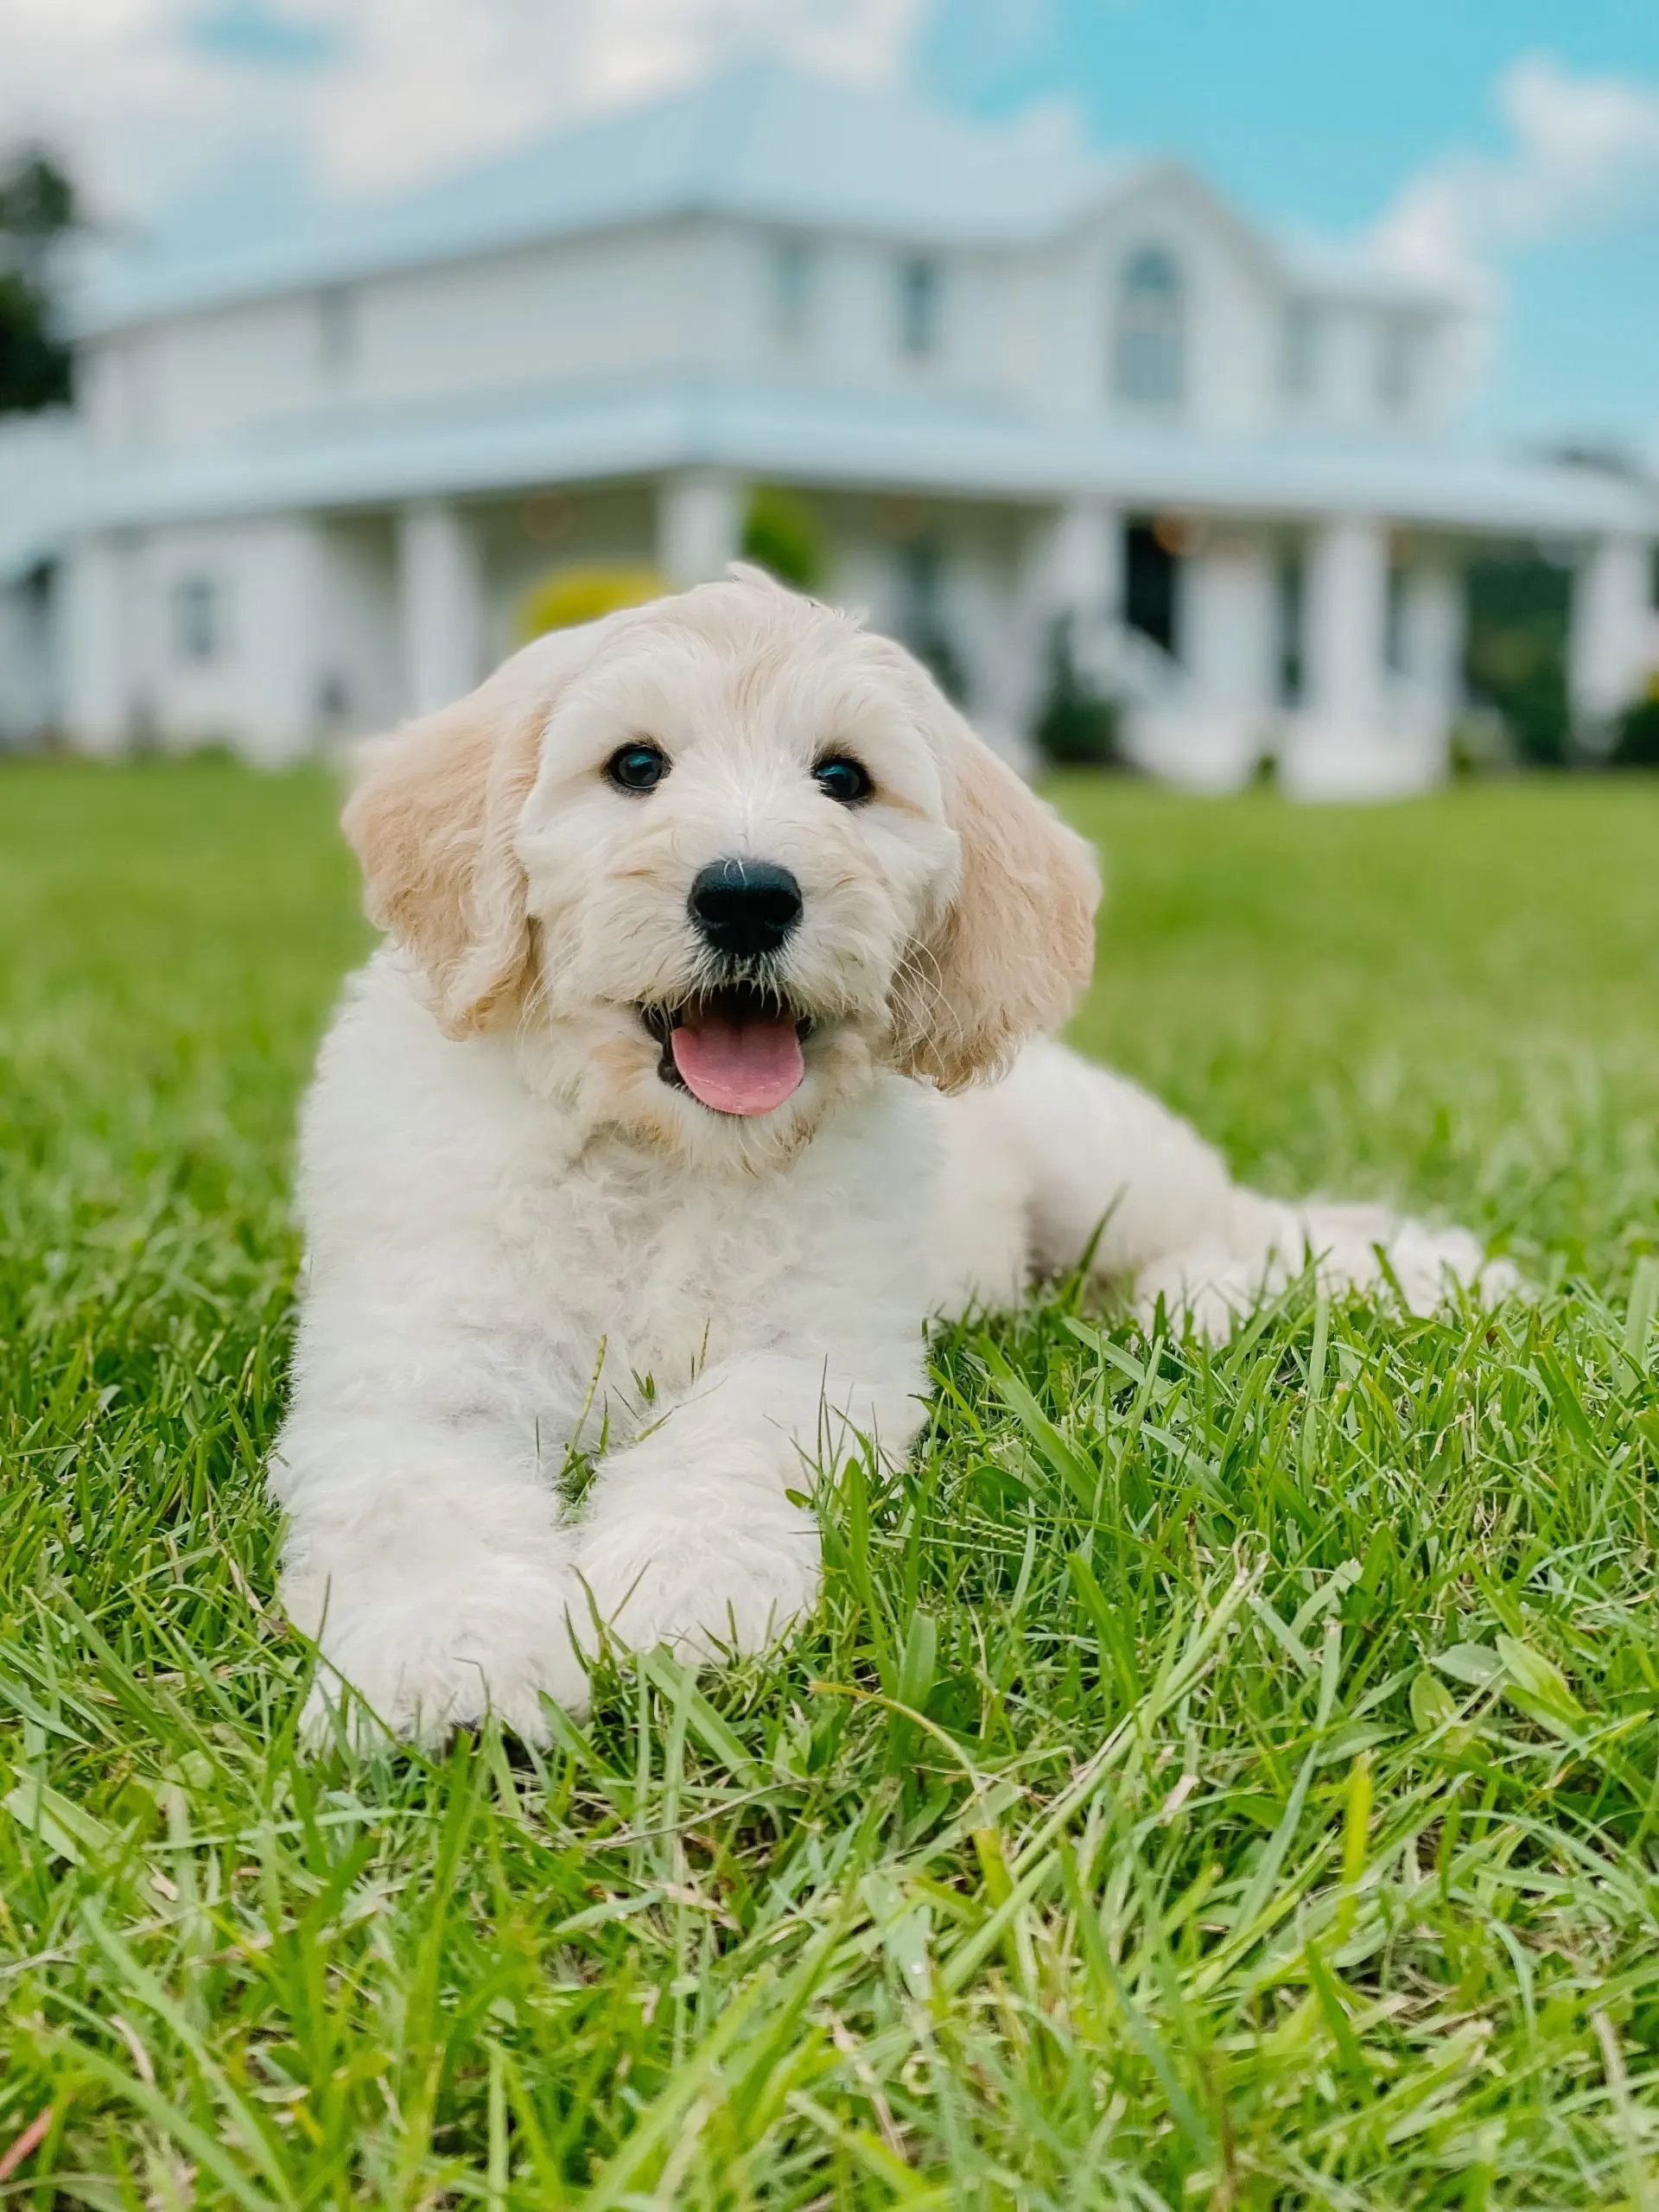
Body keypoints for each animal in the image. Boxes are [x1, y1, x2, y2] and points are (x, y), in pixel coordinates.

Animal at [276, 566, 1522, 1743]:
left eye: (843, 778)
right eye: (634, 766)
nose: (747, 896)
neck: (663, 1155)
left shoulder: (817, 1348)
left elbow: (722, 1441)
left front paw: (687, 1593)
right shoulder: (410, 1363)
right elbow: (415, 1503)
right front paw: (449, 1664)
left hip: (1107, 1167)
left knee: (1239, 1232)